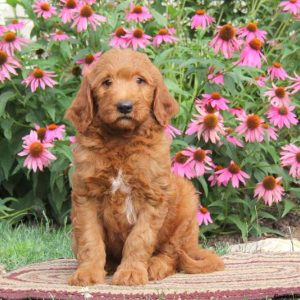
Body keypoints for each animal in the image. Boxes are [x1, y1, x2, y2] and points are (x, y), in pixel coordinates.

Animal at [66, 47, 225, 286]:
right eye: (106, 82)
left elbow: (139, 238)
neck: (121, 140)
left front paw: (131, 272)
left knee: (173, 255)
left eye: (140, 80)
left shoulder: (153, 196)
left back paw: (154, 265)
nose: (124, 106)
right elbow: (90, 238)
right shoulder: (86, 195)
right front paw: (88, 272)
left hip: (186, 204)